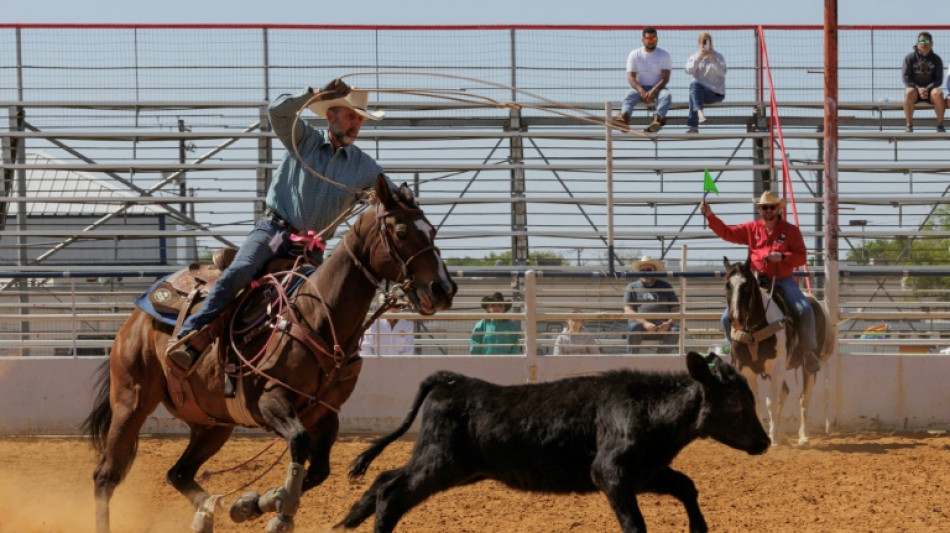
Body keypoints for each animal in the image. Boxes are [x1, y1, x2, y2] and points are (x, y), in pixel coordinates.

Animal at [82, 178, 458, 532]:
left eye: (433, 229)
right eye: (401, 232)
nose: (443, 288)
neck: (319, 316)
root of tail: (136, 316)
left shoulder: (325, 413)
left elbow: (319, 470)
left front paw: (250, 505)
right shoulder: (270, 400)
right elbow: (300, 444)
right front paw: (277, 513)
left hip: (213, 424)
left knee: (178, 473)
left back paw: (207, 511)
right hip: (131, 400)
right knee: (105, 475)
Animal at [338, 352, 768, 528]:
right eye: (738, 404)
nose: (763, 442)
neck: (648, 408)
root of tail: (454, 382)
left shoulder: (647, 474)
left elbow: (686, 487)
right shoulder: (611, 474)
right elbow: (635, 523)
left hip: (447, 465)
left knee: (384, 479)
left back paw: (346, 521)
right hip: (439, 464)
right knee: (392, 493)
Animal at [724, 258, 828, 444]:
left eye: (747, 285)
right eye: (727, 285)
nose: (736, 318)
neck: (753, 331)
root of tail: (814, 301)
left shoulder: (776, 366)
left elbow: (771, 402)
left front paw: (773, 439)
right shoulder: (747, 369)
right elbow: (757, 402)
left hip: (807, 367)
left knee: (804, 398)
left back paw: (803, 436)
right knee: (785, 392)